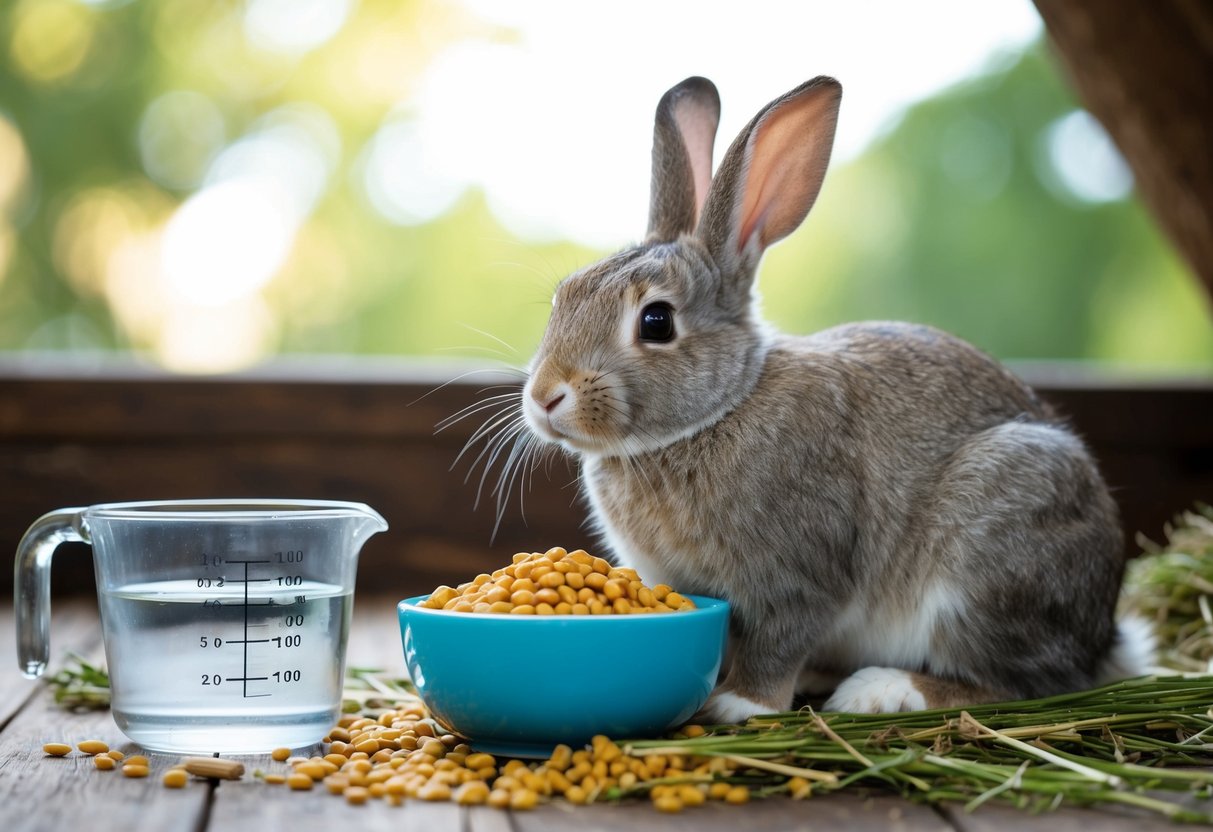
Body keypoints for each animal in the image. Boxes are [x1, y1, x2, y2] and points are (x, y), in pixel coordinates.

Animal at [516, 75, 1153, 721]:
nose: (545, 397)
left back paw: (882, 690)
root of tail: (1104, 636)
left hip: (991, 552)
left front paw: (739, 704)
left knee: (1019, 683)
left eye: (656, 322)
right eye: (564, 296)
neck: (716, 412)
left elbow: (778, 642)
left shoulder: (799, 573)